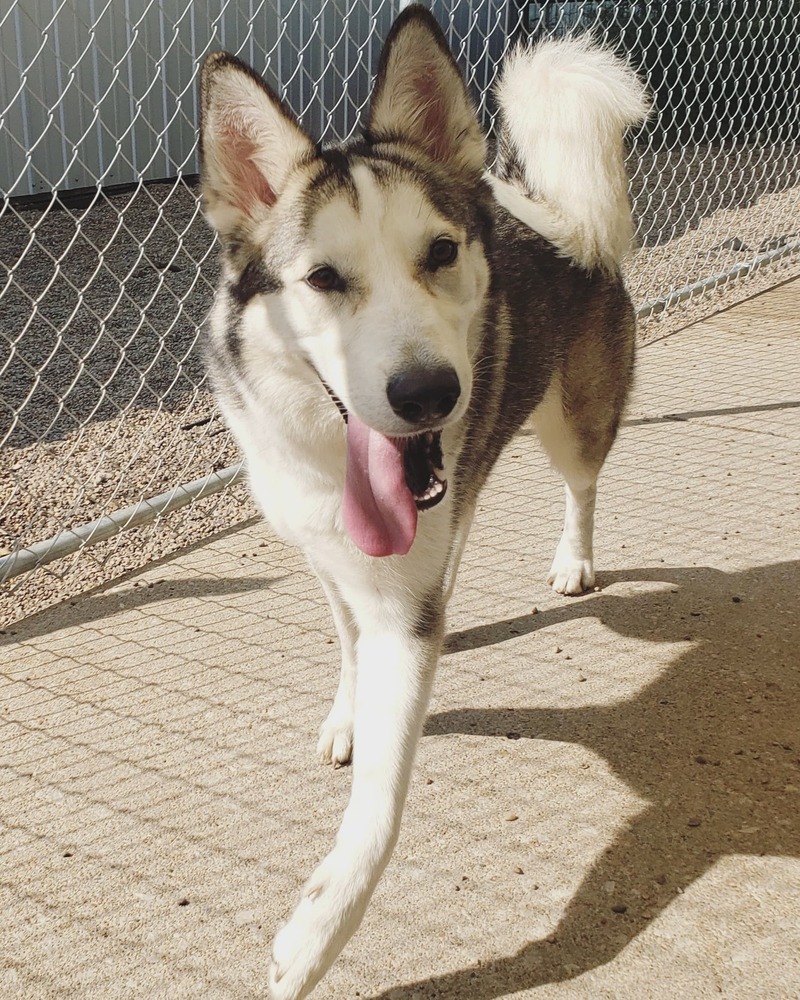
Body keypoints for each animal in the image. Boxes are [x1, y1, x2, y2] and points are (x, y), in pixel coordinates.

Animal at [200, 5, 648, 992]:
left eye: (438, 254)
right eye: (323, 279)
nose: (429, 394)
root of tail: (554, 215)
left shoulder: (403, 612)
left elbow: (379, 813)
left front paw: (314, 939)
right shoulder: (332, 558)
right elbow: (348, 642)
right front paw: (347, 711)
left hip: (574, 423)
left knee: (583, 485)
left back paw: (575, 558)